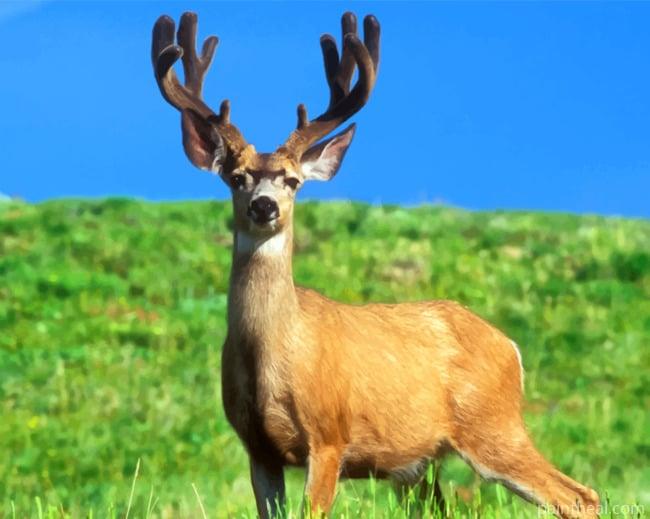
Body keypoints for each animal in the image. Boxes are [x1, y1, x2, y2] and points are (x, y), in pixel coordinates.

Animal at [151, 11, 601, 519]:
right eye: (236, 177)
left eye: (292, 181)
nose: (264, 206)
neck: (273, 356)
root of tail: (510, 347)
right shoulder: (257, 447)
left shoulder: (329, 435)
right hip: (418, 465)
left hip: (493, 425)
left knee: (579, 495)